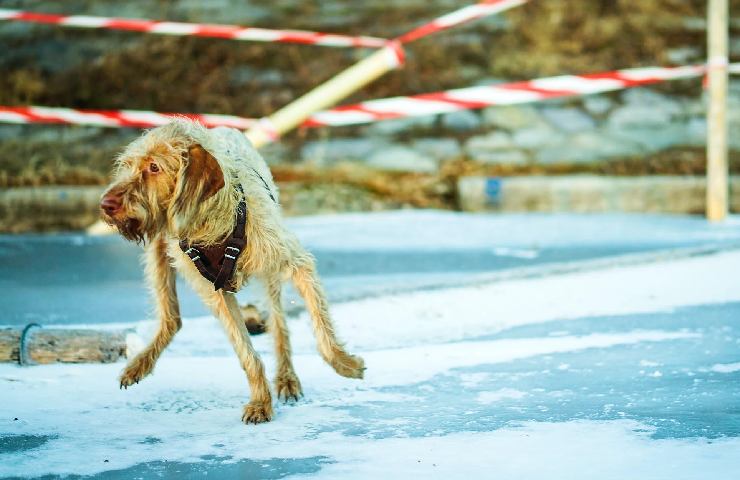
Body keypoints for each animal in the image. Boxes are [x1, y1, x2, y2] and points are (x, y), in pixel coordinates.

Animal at [99, 120, 366, 424]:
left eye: (154, 167)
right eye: (127, 165)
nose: (105, 204)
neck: (212, 223)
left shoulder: (297, 264)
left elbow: (322, 334)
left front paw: (346, 364)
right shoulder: (216, 293)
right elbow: (246, 352)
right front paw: (261, 401)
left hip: (271, 275)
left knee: (278, 323)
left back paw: (287, 377)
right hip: (158, 252)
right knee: (172, 318)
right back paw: (140, 364)